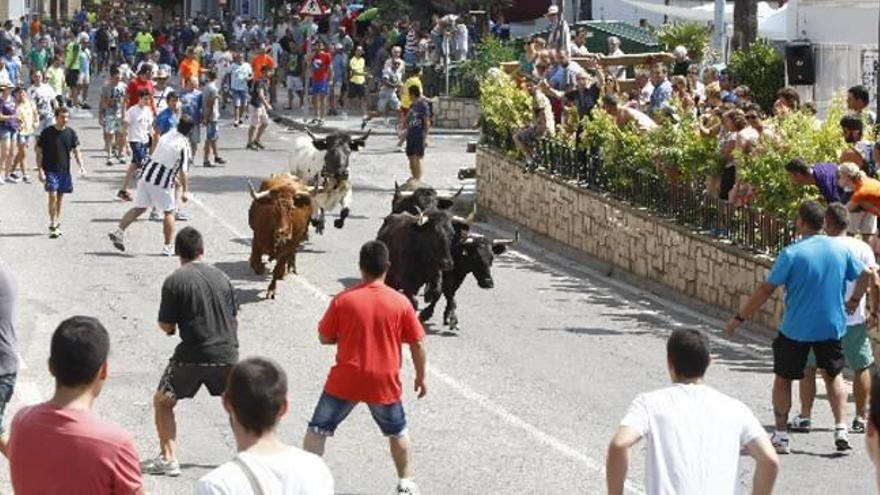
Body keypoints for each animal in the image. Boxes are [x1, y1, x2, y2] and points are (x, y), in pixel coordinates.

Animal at [246, 172, 314, 300]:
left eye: (292, 208)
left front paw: (271, 290)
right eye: (274, 208)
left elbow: (277, 270)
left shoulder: (288, 247)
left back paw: (289, 268)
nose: (283, 233)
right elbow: (257, 263)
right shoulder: (256, 239)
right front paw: (257, 265)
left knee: (290, 257)